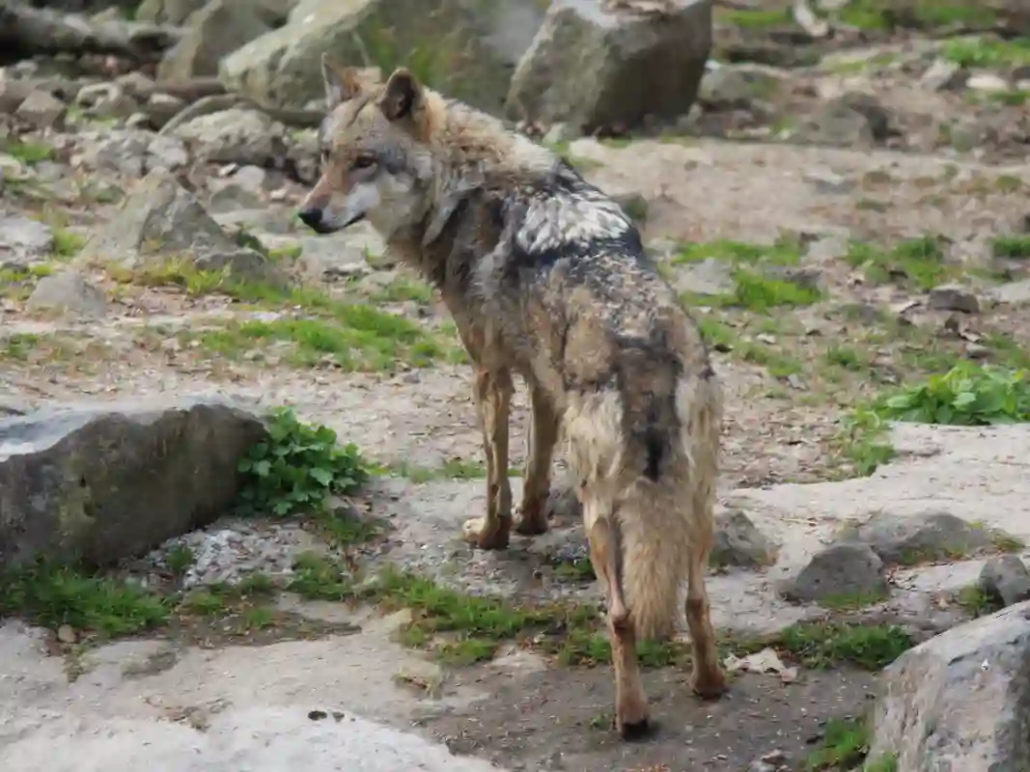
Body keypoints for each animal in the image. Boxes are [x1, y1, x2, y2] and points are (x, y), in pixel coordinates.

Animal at [298, 58, 727, 738]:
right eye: (325, 157)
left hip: (601, 515)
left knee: (622, 615)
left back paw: (630, 716)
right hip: (695, 507)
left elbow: (496, 475)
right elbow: (532, 470)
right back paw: (708, 686)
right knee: (696, 600)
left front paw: (491, 535)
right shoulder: (540, 381)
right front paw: (530, 523)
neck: (464, 186)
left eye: (364, 162)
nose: (308, 215)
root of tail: (646, 350)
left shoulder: (488, 371)